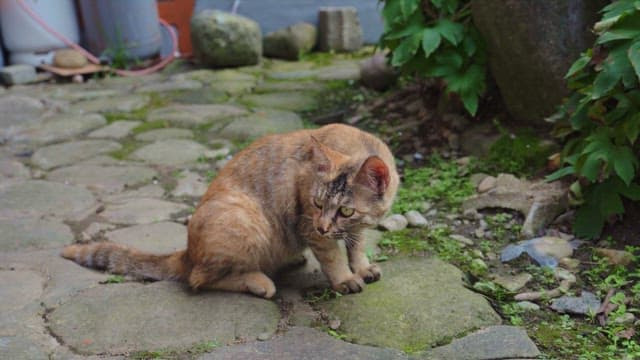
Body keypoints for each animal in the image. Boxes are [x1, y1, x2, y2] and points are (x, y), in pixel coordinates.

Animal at [62, 124, 398, 298]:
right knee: (199, 278)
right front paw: (345, 279)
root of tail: (188, 252)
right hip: (246, 220)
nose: (323, 226)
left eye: (345, 211)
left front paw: (362, 267)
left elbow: (356, 246)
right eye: (317, 204)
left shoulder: (354, 229)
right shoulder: (309, 228)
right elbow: (333, 258)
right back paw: (259, 281)